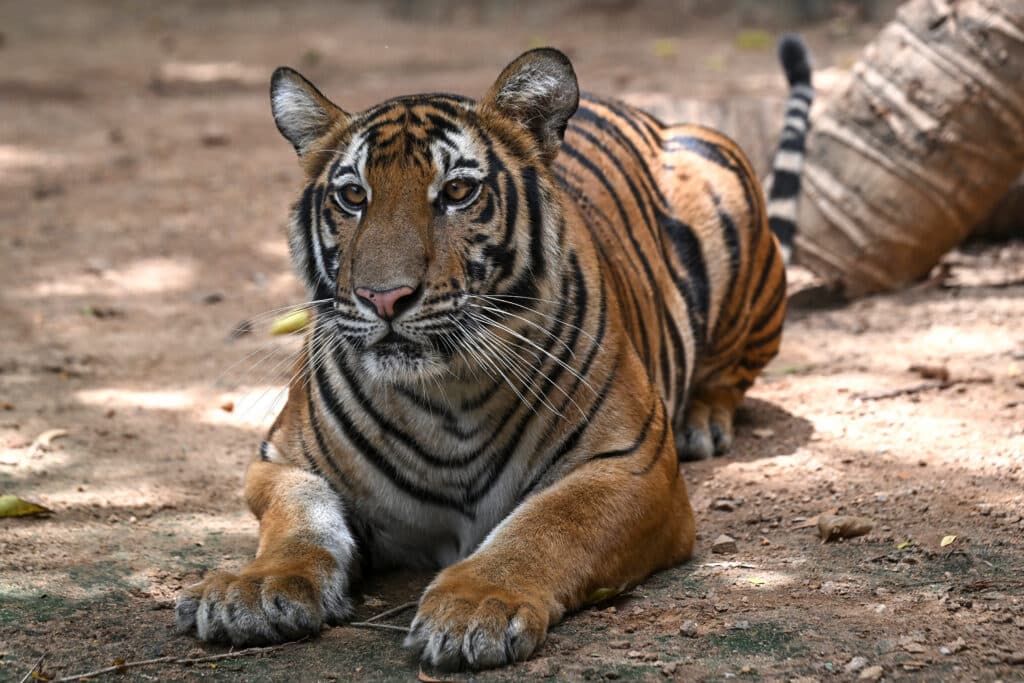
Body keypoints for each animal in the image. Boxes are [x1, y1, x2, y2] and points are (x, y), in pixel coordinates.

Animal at [176, 36, 813, 671]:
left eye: (458, 191)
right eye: (353, 195)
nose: (384, 297)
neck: (445, 396)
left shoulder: (632, 466)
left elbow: (550, 525)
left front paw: (477, 605)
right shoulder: (283, 459)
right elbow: (299, 522)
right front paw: (254, 589)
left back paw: (703, 422)